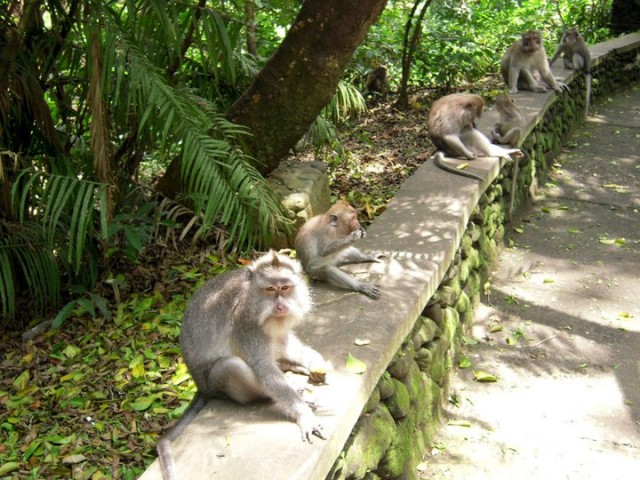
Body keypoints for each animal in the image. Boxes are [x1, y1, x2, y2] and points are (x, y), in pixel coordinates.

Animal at [158, 251, 328, 480]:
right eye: (270, 289)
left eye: (285, 288)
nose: (280, 306)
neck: (254, 299)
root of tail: (201, 387)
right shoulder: (246, 324)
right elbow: (263, 368)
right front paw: (304, 414)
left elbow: (282, 340)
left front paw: (314, 362)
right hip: (216, 384)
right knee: (230, 366)